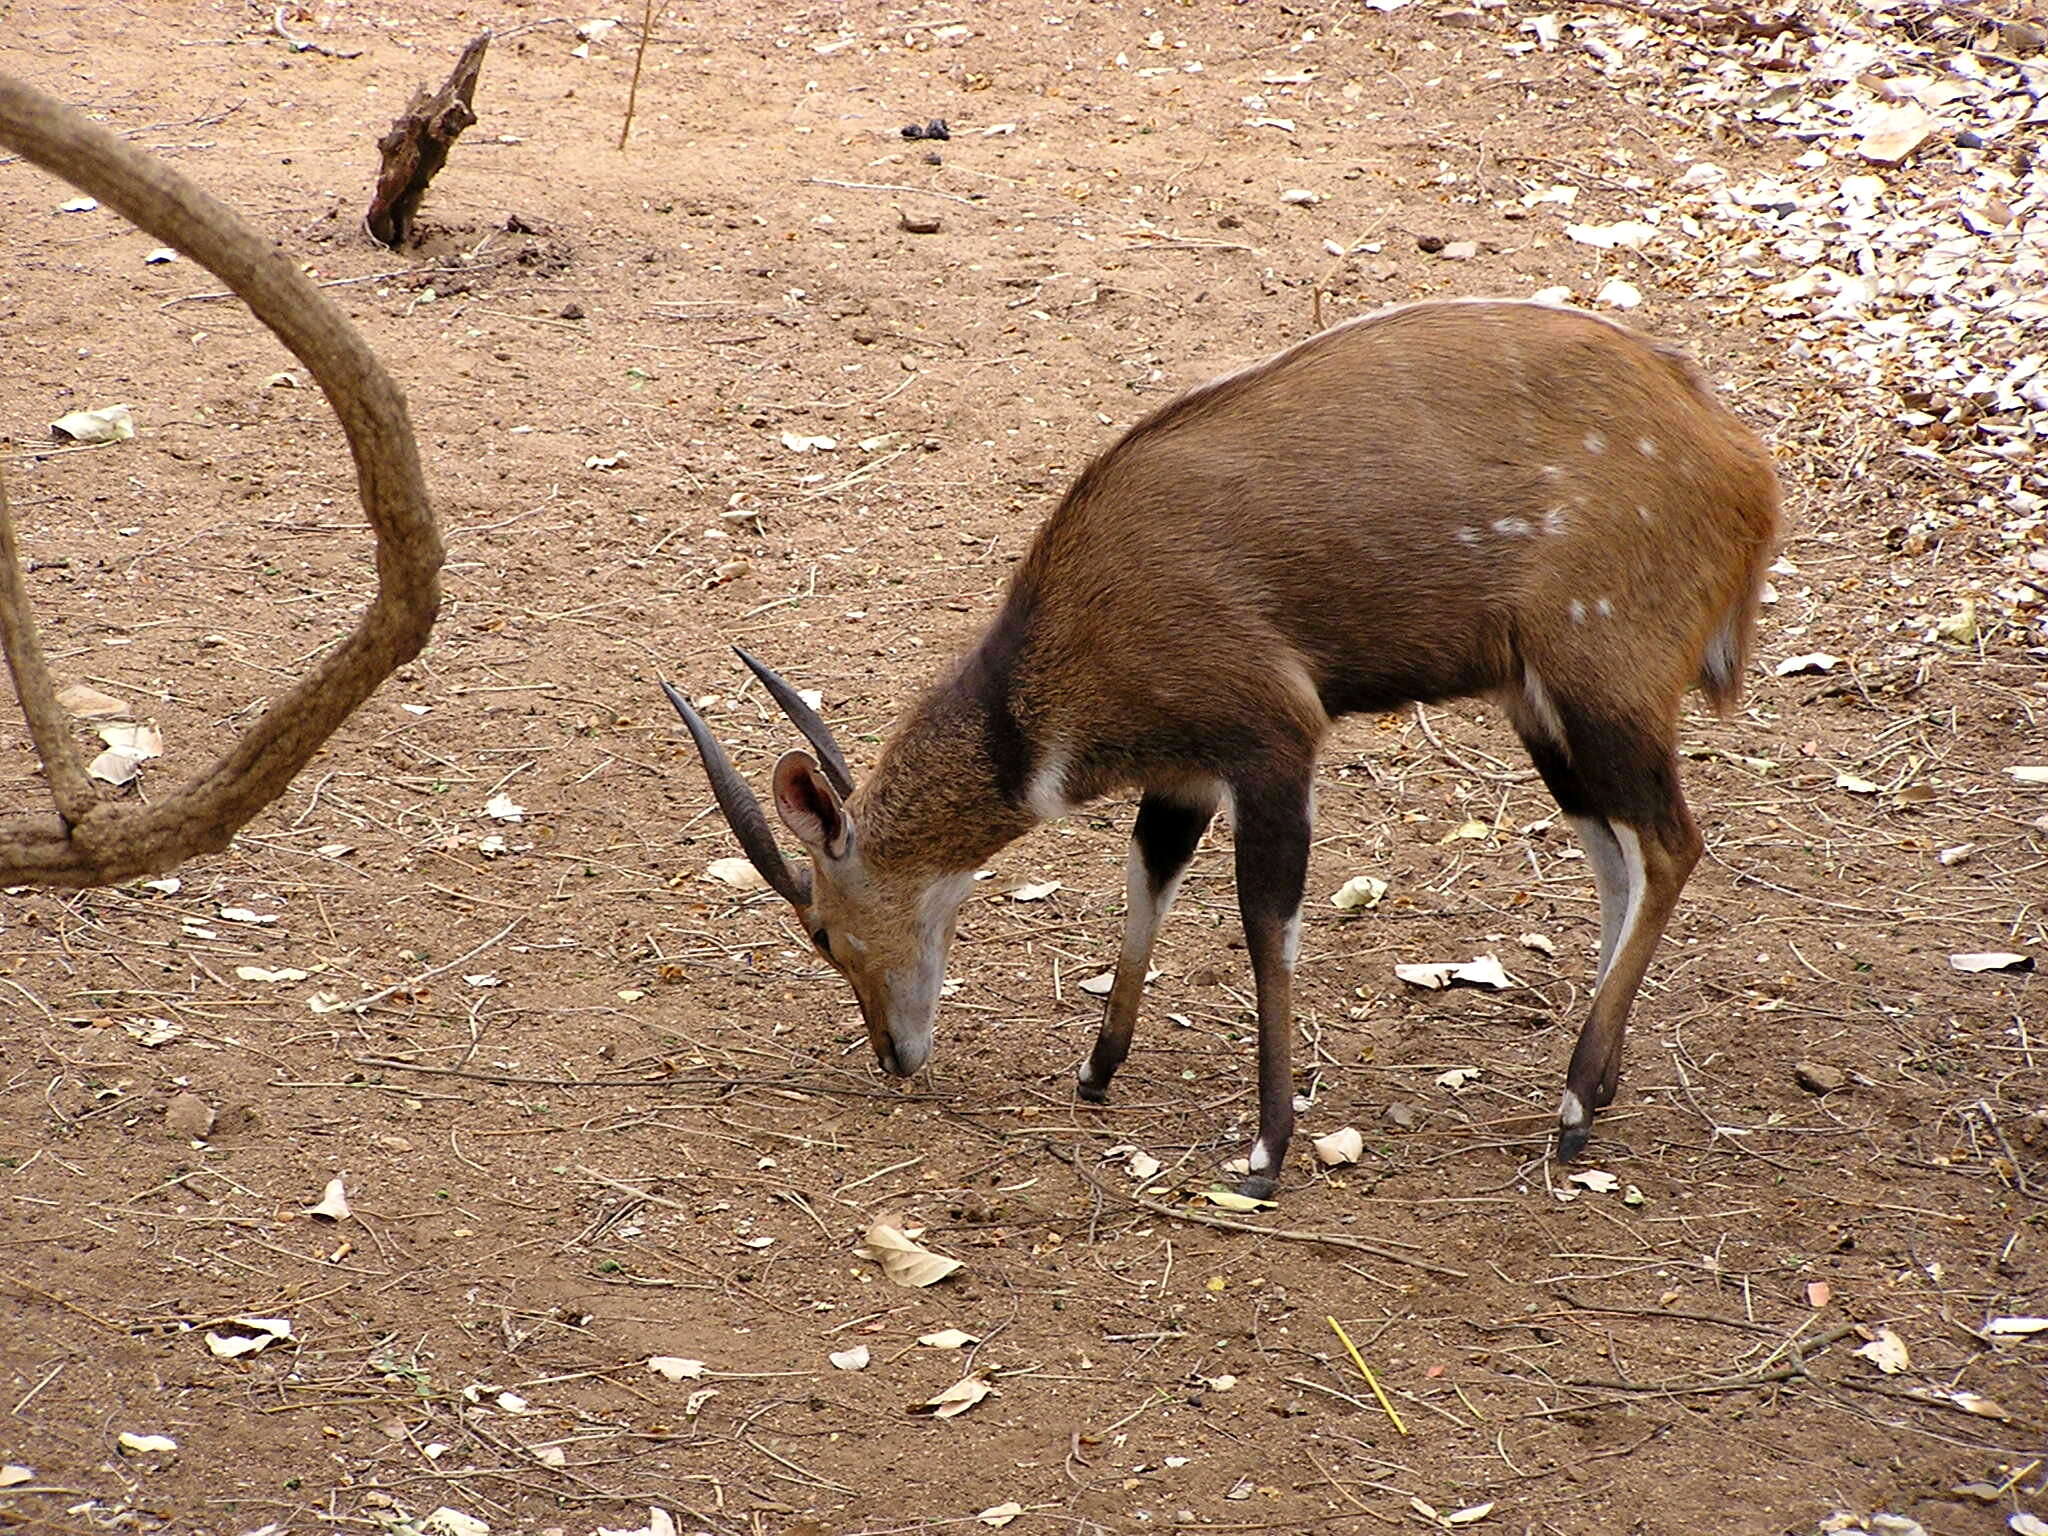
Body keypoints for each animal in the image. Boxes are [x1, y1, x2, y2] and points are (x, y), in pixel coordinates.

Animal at [667, 294, 1777, 1196]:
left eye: (819, 930)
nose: (894, 1055)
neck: (1059, 672)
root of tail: (1746, 471)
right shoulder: (1187, 770)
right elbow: (1145, 879)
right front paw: (1095, 1070)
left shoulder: (1274, 733)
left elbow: (1265, 922)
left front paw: (1265, 1150)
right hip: (1539, 701)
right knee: (1616, 853)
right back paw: (1596, 1086)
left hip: (1601, 671)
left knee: (1672, 842)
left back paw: (1576, 1105)